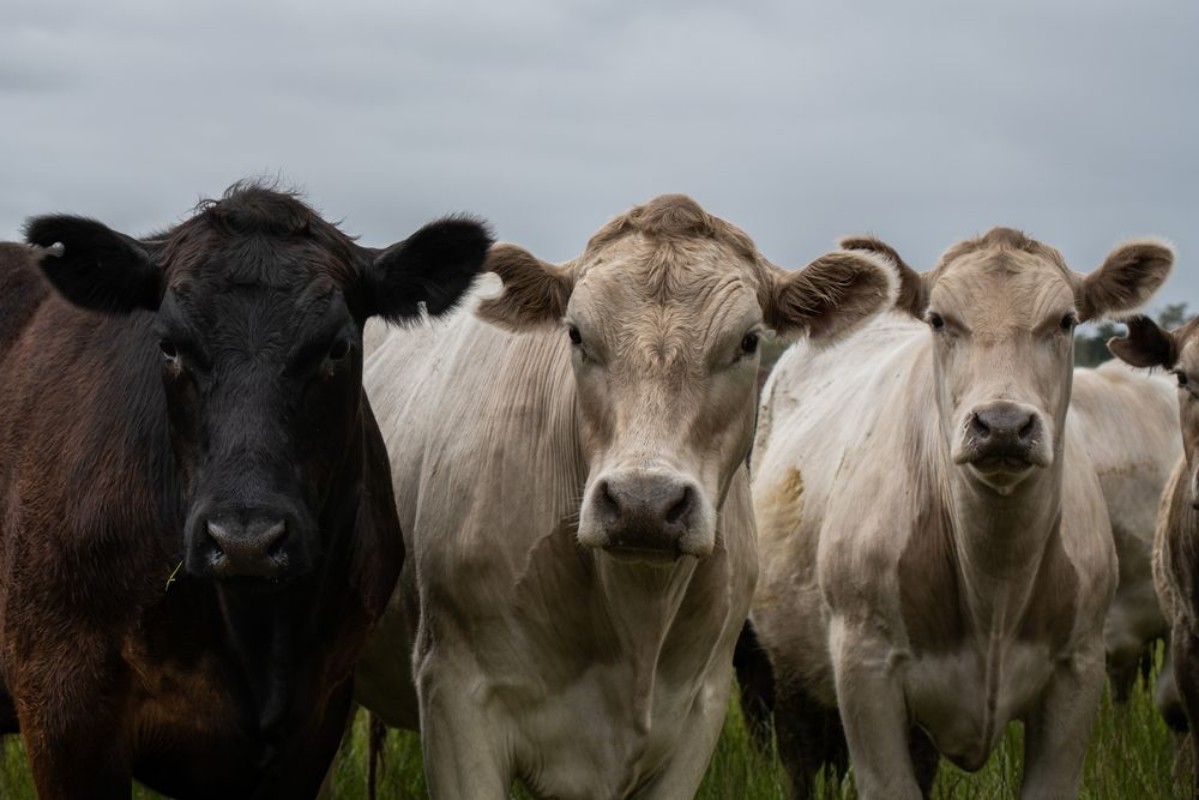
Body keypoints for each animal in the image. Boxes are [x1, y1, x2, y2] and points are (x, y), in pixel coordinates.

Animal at [351, 194, 899, 799]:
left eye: (749, 340)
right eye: (575, 334)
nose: (644, 505)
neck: (634, 621)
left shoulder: (698, 717)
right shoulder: (455, 699)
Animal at [745, 228, 1171, 799]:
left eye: (1065, 321)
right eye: (939, 320)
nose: (1003, 425)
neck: (995, 581)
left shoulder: (1079, 672)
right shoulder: (865, 672)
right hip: (789, 676)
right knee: (800, 758)